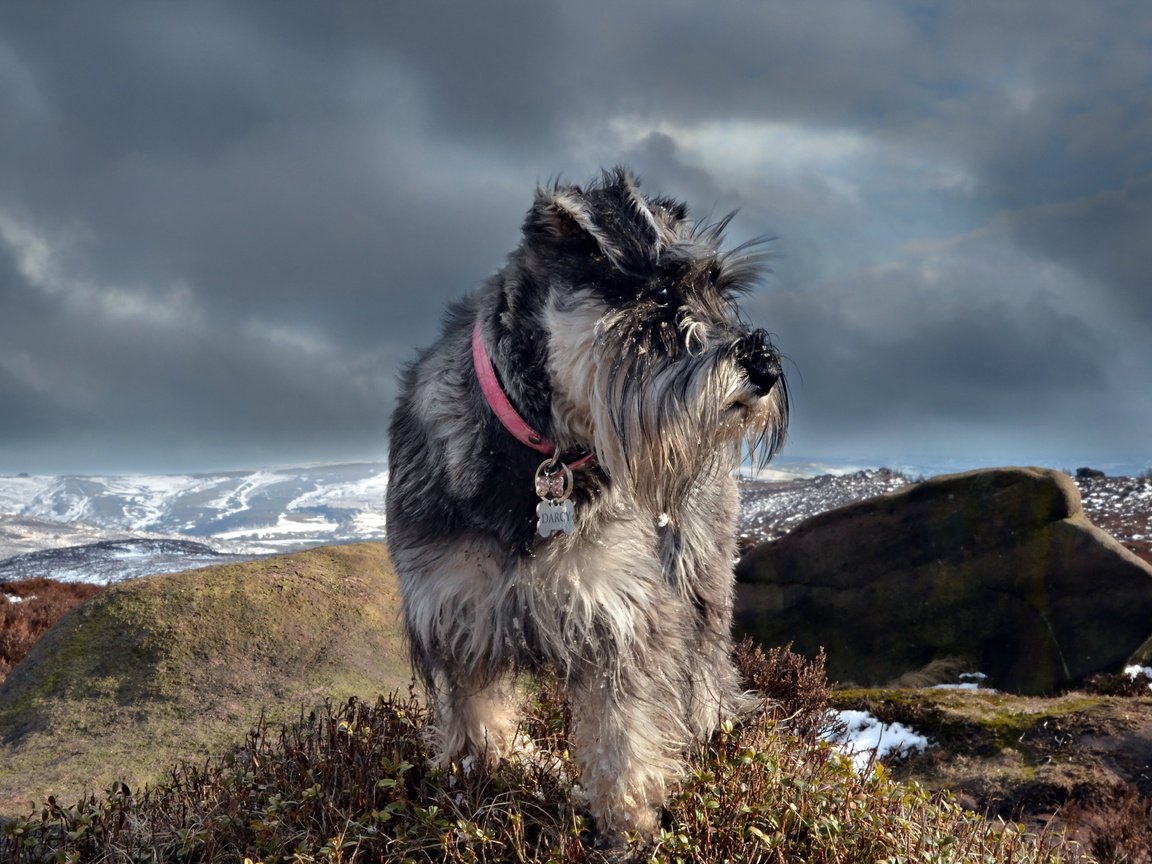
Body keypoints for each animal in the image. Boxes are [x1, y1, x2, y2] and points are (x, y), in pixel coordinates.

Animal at [387, 169, 792, 847]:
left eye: (721, 289)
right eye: (660, 290)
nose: (763, 366)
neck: (541, 455)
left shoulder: (621, 618)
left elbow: (622, 742)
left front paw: (629, 830)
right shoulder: (456, 616)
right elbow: (479, 721)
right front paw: (485, 783)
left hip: (698, 572)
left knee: (705, 663)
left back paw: (711, 729)